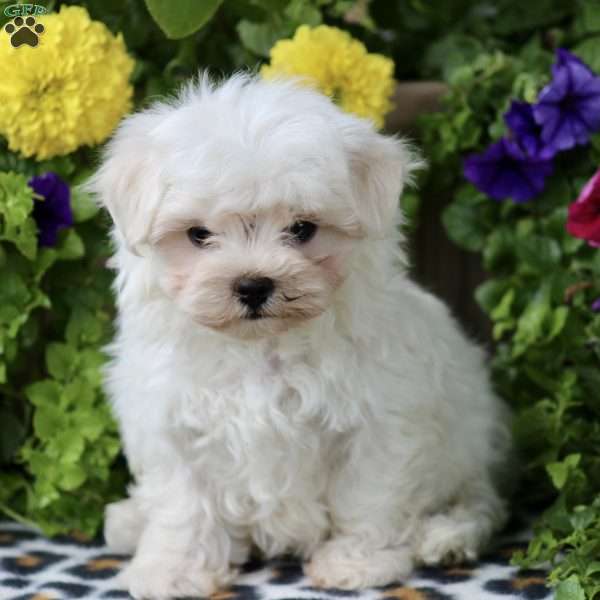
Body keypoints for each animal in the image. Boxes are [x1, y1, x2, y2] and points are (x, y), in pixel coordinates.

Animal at [89, 75, 510, 600]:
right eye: (198, 234)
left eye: (303, 229)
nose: (252, 285)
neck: (260, 347)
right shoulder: (173, 421)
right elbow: (183, 502)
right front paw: (175, 570)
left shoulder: (378, 420)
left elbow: (368, 495)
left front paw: (357, 563)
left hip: (469, 442)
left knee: (476, 501)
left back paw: (445, 536)